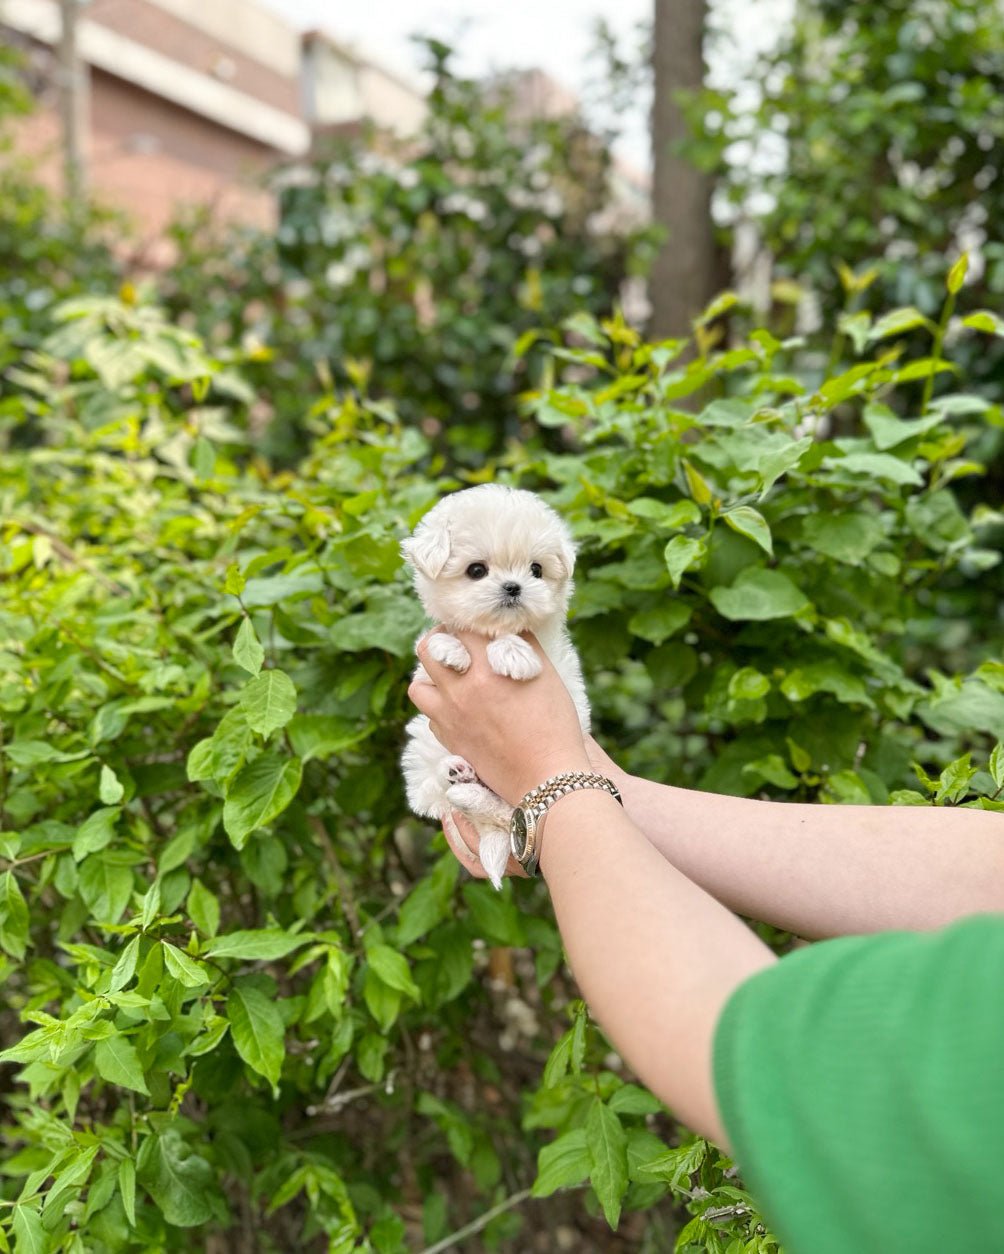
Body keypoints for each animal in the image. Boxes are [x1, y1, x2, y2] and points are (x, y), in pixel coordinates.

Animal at [398, 484, 586, 887]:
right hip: (422, 747)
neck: (490, 632)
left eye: (536, 570)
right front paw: (451, 649)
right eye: (476, 570)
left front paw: (513, 654)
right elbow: (438, 641)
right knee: (431, 793)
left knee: (502, 811)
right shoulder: (425, 676)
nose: (513, 587)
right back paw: (457, 772)